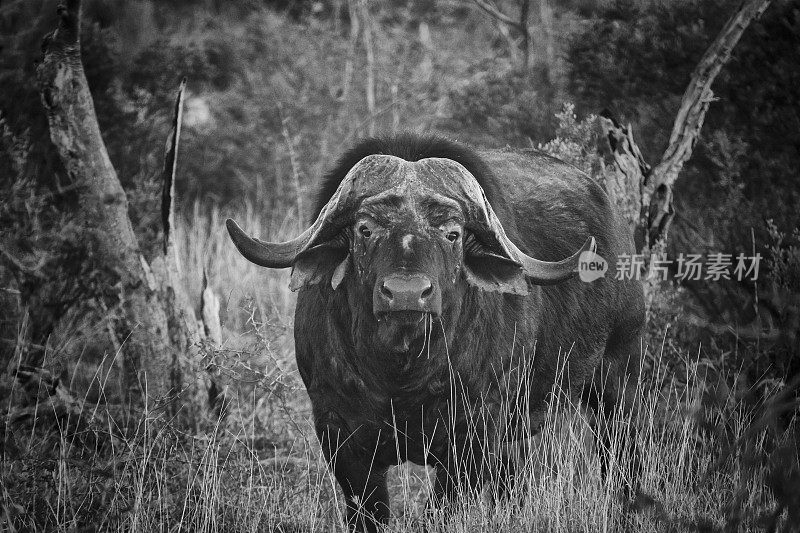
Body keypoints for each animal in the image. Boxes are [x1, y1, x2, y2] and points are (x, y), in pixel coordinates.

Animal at [225, 134, 644, 532]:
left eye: (452, 233)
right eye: (365, 229)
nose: (407, 293)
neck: (401, 375)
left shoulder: (474, 435)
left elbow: (441, 511)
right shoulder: (338, 433)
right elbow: (369, 513)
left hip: (618, 380)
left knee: (622, 456)